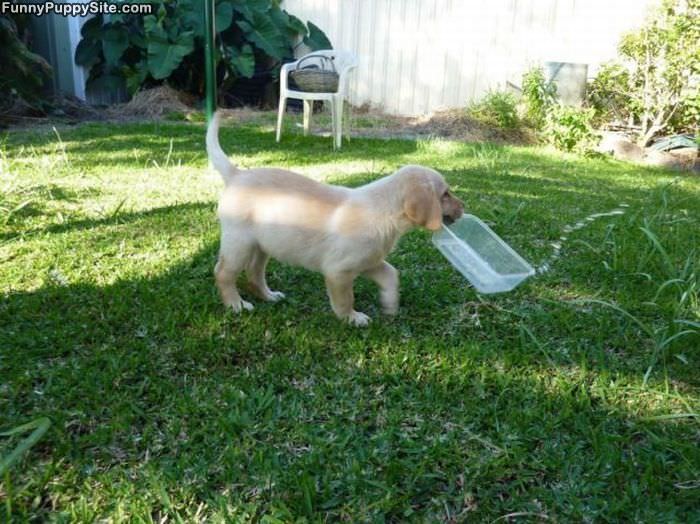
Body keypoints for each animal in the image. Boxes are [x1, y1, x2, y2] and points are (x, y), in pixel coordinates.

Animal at [205, 112, 462, 326]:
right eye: (445, 194)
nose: (464, 207)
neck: (385, 212)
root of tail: (237, 174)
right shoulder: (339, 270)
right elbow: (345, 298)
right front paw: (352, 318)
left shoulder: (369, 261)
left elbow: (391, 274)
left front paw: (390, 305)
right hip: (239, 243)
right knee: (223, 272)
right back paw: (236, 304)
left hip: (263, 244)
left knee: (254, 273)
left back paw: (269, 295)